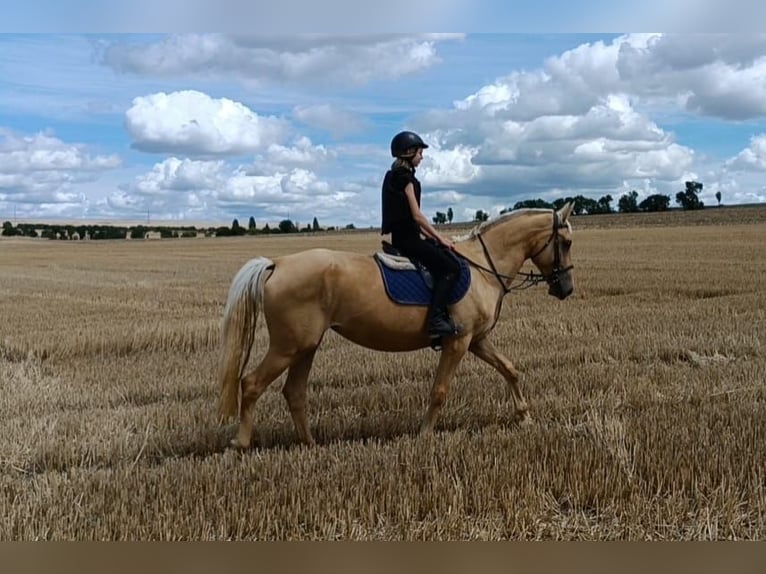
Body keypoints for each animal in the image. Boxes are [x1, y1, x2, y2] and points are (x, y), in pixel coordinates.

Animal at [218, 203, 575, 449]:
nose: (566, 289)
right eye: (567, 242)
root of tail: (277, 264)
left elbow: (510, 369)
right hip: (288, 346)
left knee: (294, 392)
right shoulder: (458, 342)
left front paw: (525, 417)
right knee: (251, 383)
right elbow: (439, 390)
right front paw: (424, 435)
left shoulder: (475, 340)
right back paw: (241, 443)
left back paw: (310, 444)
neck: (483, 267)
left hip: (306, 346)